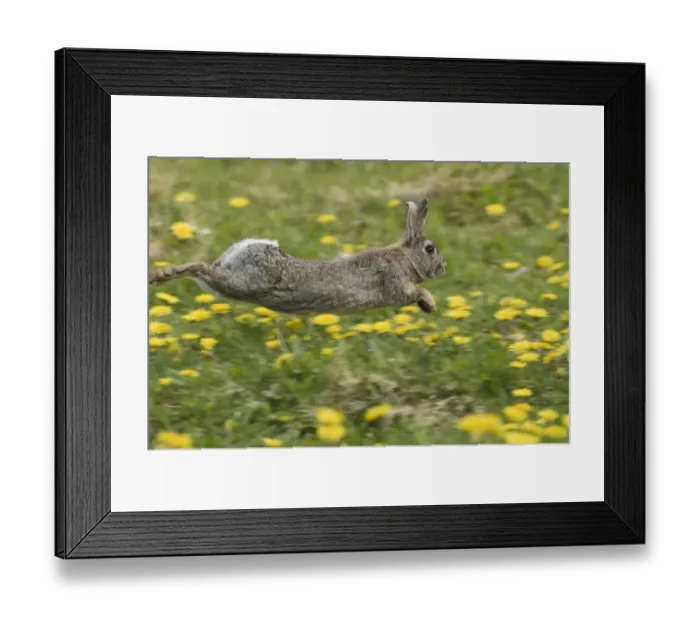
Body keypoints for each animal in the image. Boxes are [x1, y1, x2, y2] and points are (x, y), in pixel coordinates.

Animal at [149, 198, 446, 314]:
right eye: (430, 249)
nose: (443, 267)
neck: (405, 257)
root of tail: (253, 246)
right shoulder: (394, 285)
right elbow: (415, 292)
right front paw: (430, 304)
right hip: (242, 283)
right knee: (201, 267)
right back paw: (162, 274)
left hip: (227, 286)